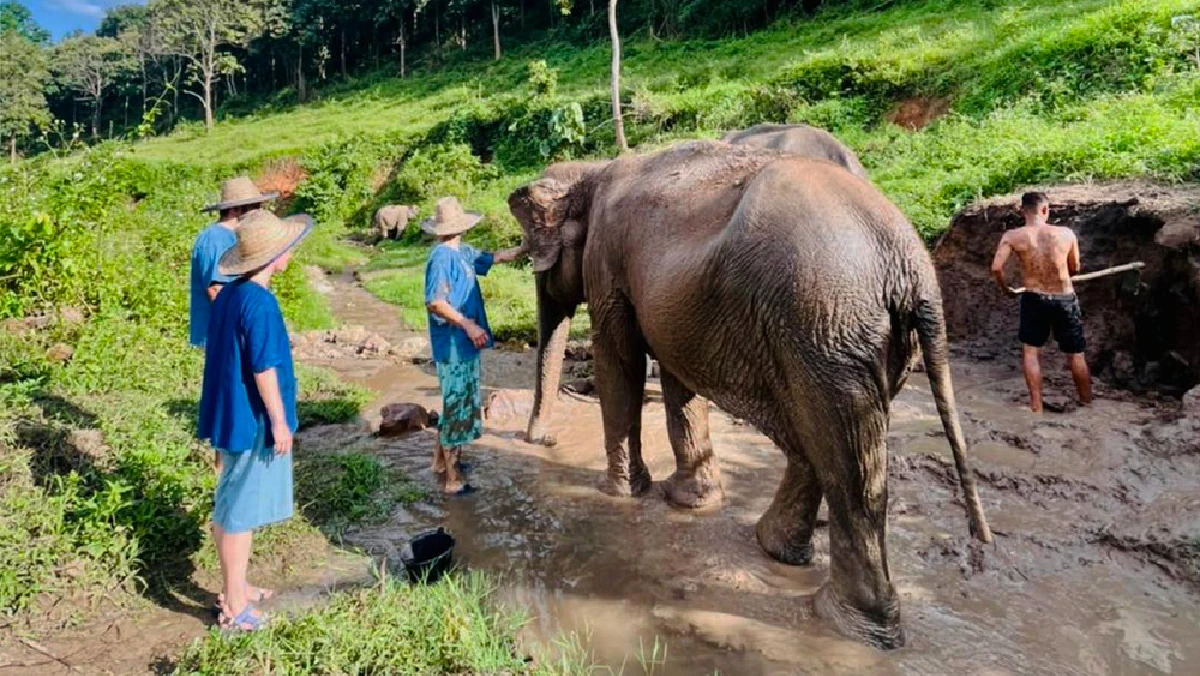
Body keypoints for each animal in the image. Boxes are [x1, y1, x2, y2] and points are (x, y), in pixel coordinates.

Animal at [511, 138, 988, 648]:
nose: (540, 439)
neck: (592, 170)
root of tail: (912, 266)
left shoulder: (608, 263)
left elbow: (619, 361)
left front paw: (620, 494)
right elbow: (678, 378)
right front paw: (690, 501)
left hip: (824, 325)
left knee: (842, 455)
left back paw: (844, 620)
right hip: (861, 341)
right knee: (828, 444)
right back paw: (779, 550)